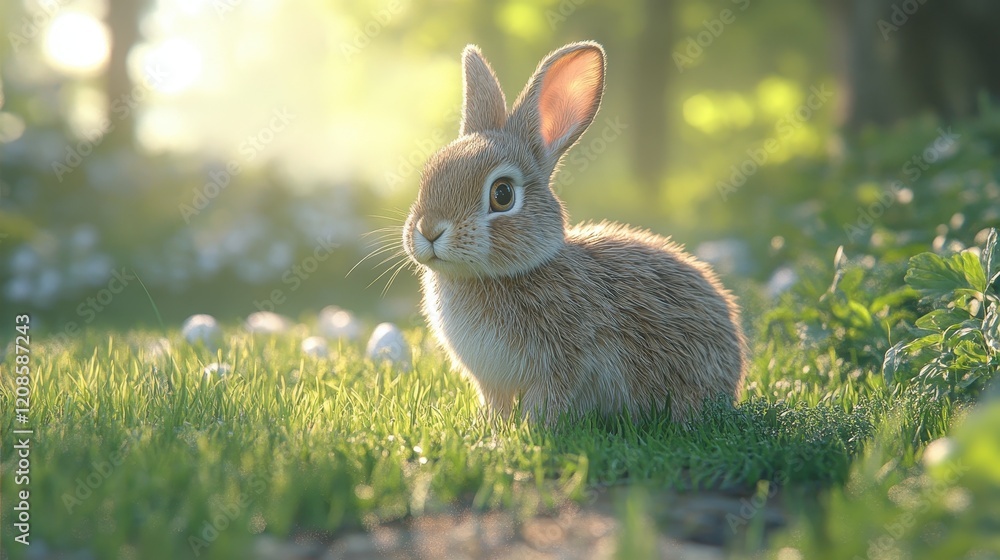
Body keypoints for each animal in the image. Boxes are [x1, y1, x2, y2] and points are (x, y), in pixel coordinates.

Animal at [402, 41, 747, 425]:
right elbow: (496, 405)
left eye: (502, 194)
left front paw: (531, 429)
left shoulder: (563, 366)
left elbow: (548, 403)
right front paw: (492, 428)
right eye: (430, 172)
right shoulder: (491, 382)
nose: (429, 230)